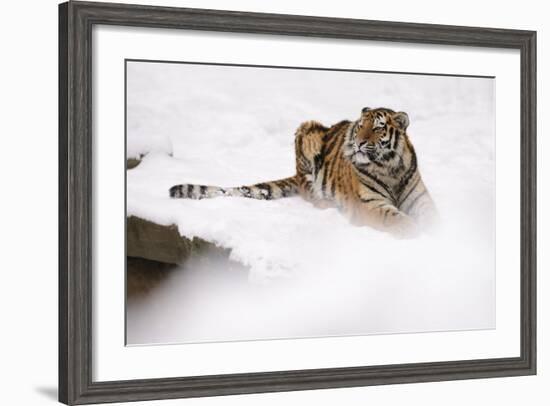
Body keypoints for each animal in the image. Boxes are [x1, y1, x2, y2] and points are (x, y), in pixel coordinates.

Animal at [169, 107, 440, 238]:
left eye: (377, 128)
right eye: (360, 127)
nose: (359, 143)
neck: (390, 168)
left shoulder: (420, 199)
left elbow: (433, 218)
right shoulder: (370, 205)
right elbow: (398, 220)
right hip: (306, 131)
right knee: (309, 192)